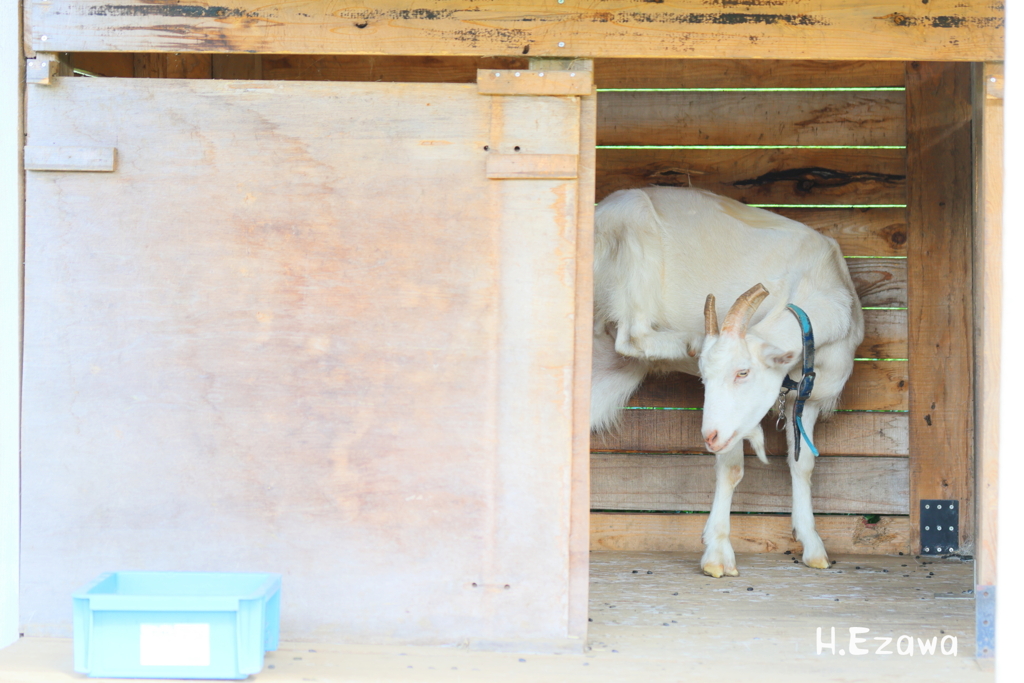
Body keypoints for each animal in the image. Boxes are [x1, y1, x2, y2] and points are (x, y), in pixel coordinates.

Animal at [593, 187, 864, 577]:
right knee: (632, 334)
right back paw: (687, 340)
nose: (709, 436)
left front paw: (813, 546)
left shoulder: (805, 401)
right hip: (632, 244)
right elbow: (732, 468)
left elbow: (802, 466)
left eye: (743, 372)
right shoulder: (731, 420)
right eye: (704, 379)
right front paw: (717, 553)